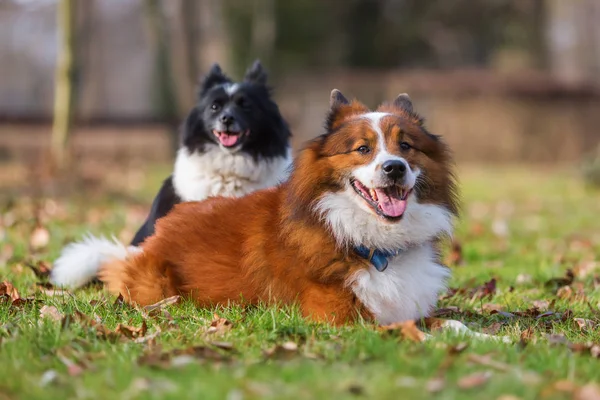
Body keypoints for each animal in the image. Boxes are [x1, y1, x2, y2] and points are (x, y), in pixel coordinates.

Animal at [98, 90, 458, 324]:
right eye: (362, 149)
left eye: (406, 146)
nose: (395, 168)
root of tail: (158, 231)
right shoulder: (340, 318)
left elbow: (449, 324)